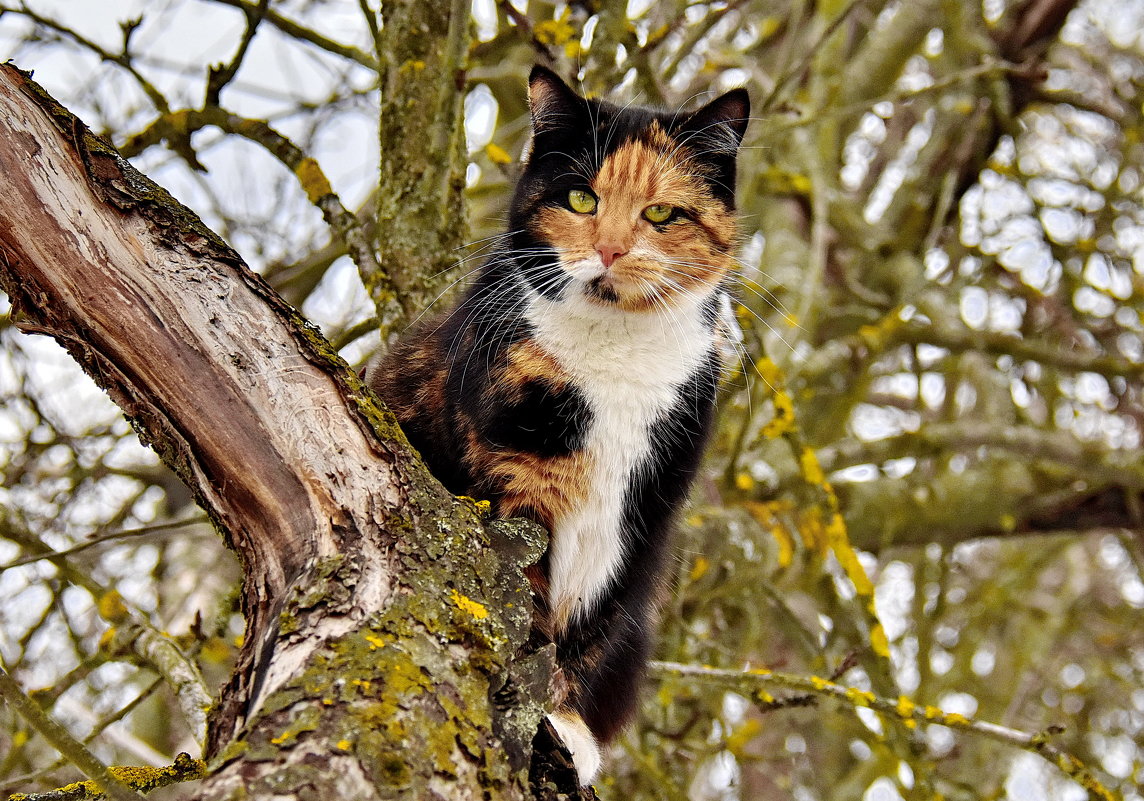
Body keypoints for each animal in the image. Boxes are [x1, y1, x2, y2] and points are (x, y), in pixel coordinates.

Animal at [372, 67, 750, 782]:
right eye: (580, 197)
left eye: (661, 213)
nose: (609, 249)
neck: (616, 359)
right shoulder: (511, 479)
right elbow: (525, 597)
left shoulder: (644, 514)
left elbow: (592, 622)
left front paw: (567, 724)